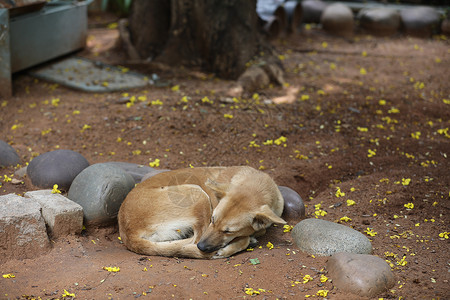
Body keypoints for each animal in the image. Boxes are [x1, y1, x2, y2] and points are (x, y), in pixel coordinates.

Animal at [117, 165, 284, 258]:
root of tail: (127, 232)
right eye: (212, 219)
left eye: (228, 231)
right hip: (197, 194)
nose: (202, 248)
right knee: (195, 240)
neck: (258, 186)